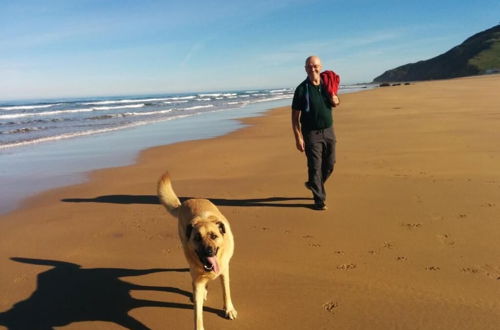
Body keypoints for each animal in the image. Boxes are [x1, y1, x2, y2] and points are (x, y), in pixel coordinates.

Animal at [158, 173, 238, 330]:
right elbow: (197, 313)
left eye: (214, 236)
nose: (208, 251)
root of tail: (185, 202)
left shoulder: (224, 271)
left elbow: (226, 291)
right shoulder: (197, 283)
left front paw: (229, 309)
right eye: (197, 238)